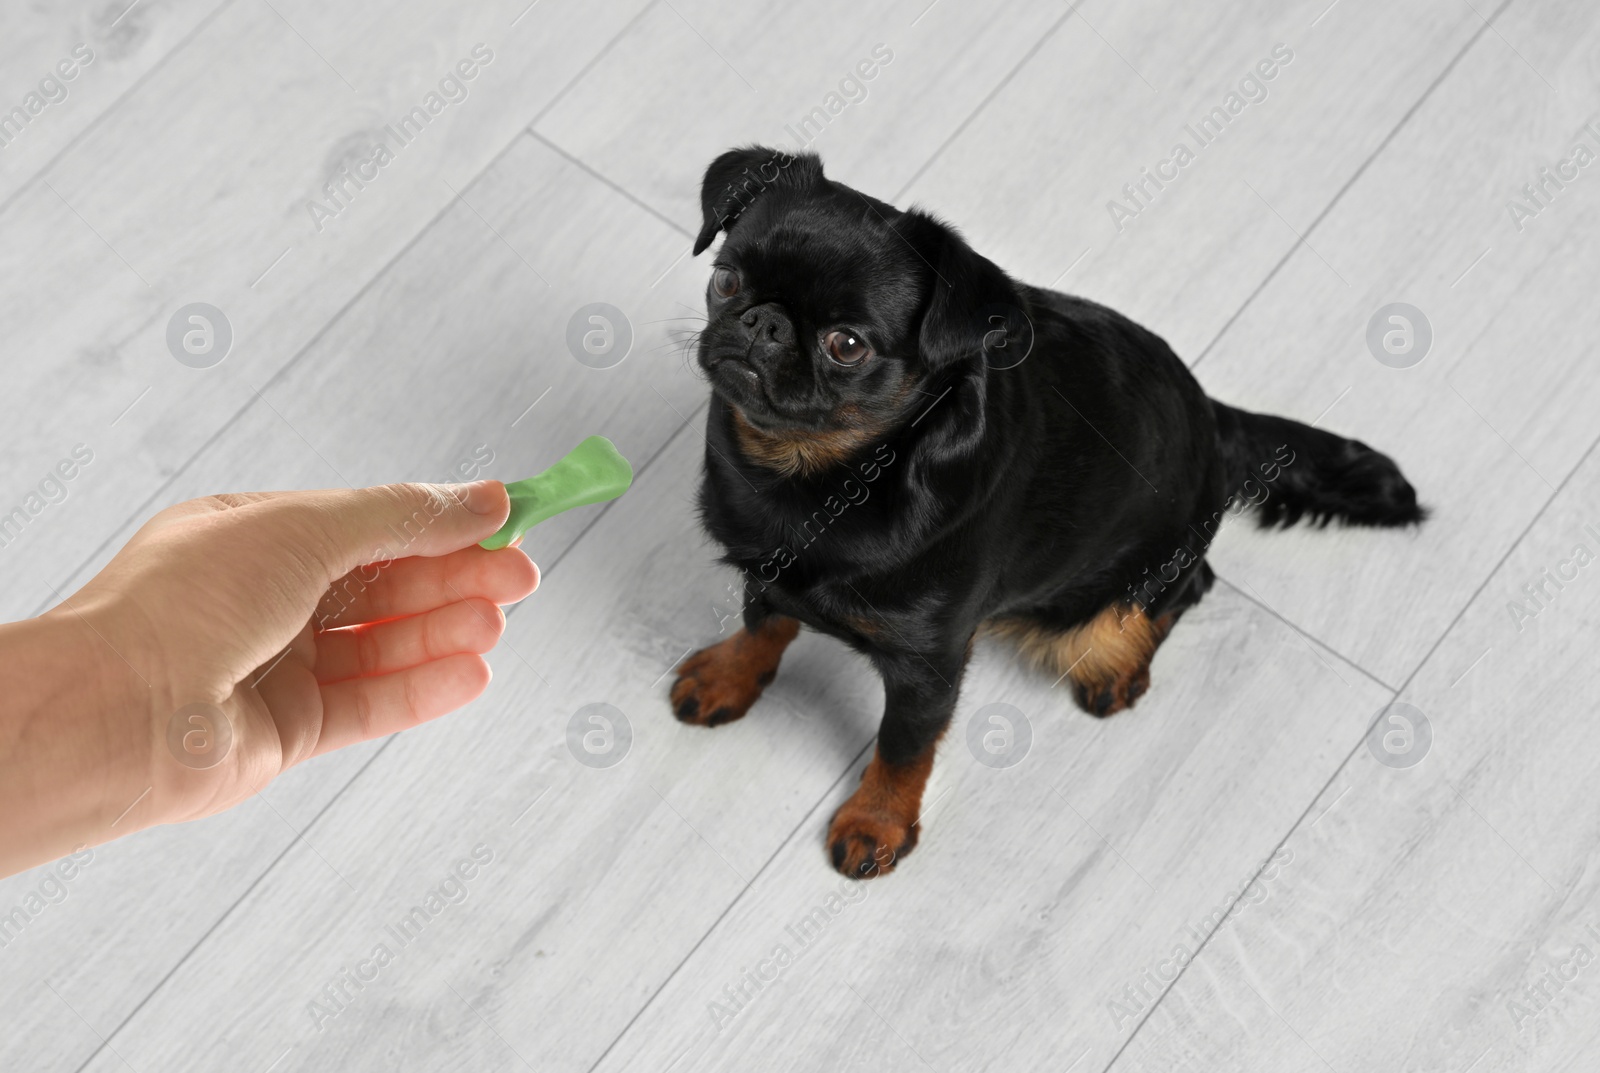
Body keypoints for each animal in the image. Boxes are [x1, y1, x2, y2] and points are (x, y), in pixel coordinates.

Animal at [668, 147, 1420, 876]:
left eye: (846, 345)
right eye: (726, 280)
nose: (763, 321)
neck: (817, 475)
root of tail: (1212, 415)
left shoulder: (929, 666)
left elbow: (902, 748)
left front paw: (876, 823)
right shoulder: (767, 569)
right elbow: (763, 623)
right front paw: (729, 675)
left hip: (1102, 599)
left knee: (1177, 594)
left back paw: (1119, 668)